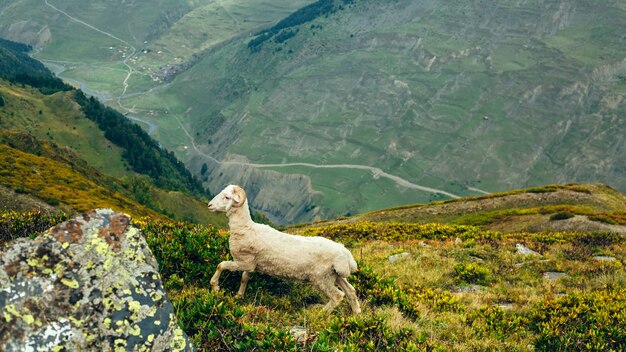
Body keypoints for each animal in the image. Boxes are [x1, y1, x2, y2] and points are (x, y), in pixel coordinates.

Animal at [206, 186, 360, 314]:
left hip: (321, 278)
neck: (245, 228)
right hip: (335, 275)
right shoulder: (250, 264)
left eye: (227, 197)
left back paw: (321, 314)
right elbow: (245, 278)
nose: (209, 205)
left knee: (337, 296)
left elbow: (221, 265)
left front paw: (215, 287)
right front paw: (239, 296)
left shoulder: (243, 262)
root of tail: (345, 254)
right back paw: (356, 314)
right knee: (350, 291)